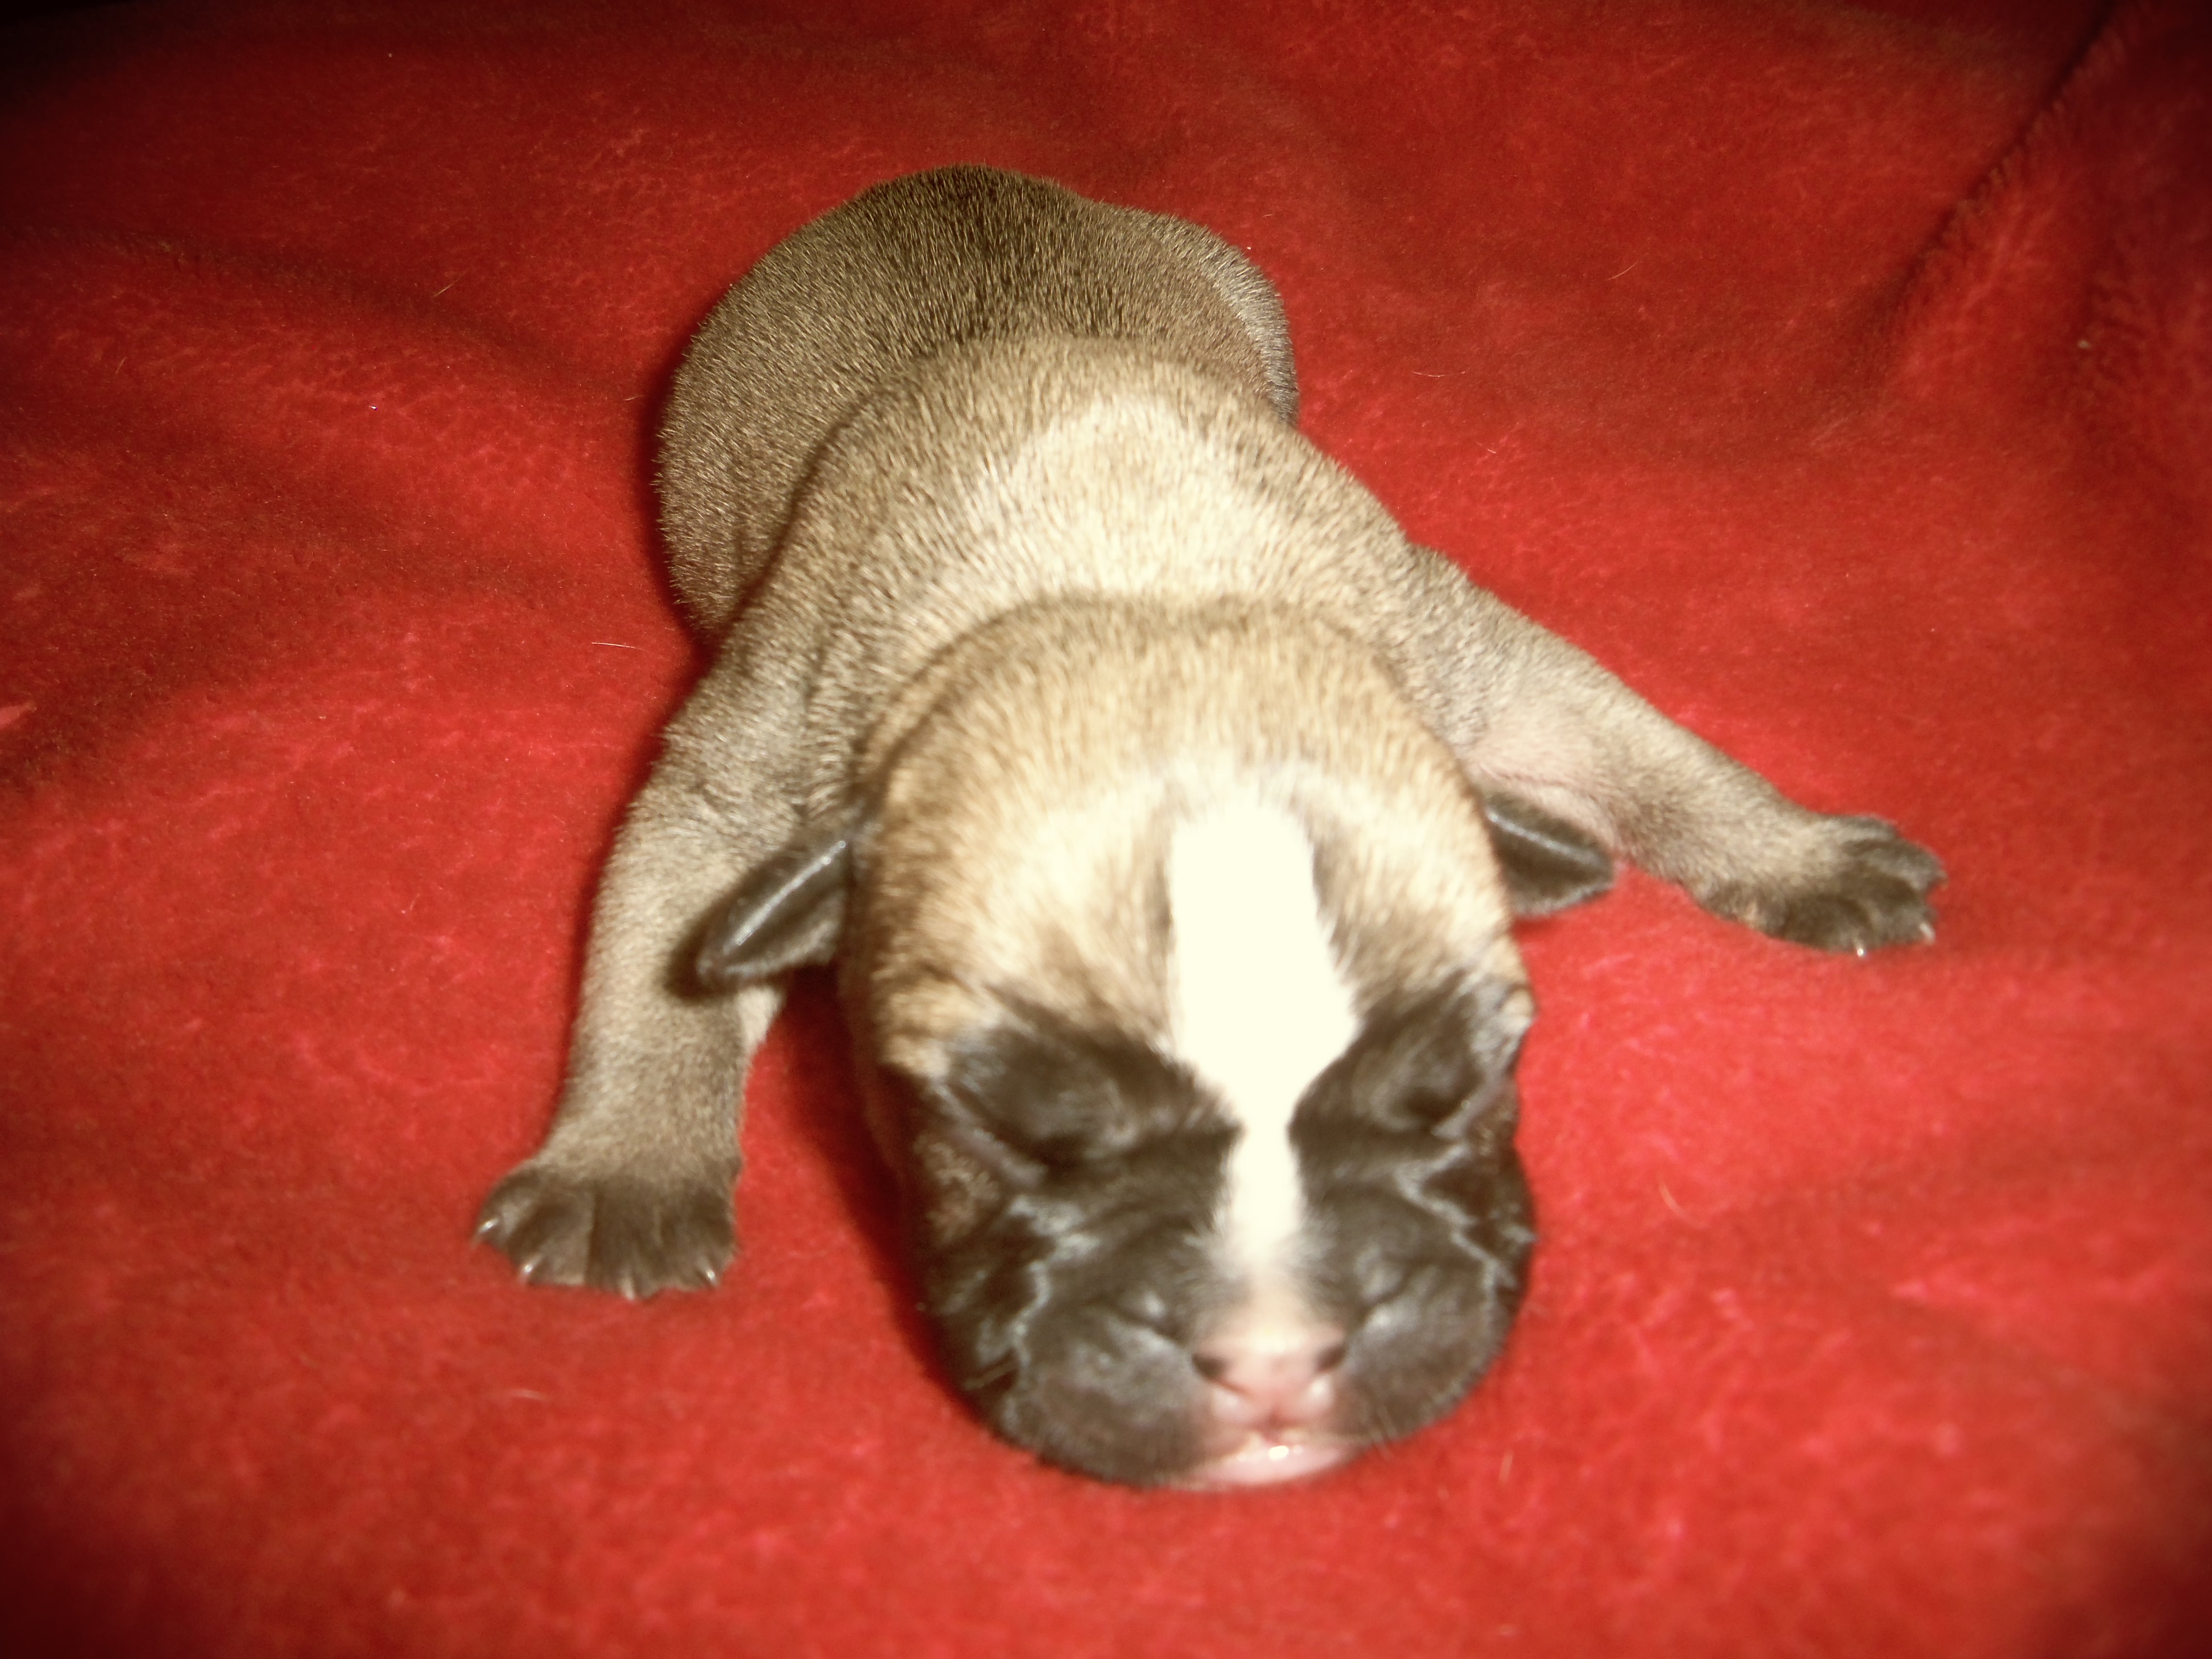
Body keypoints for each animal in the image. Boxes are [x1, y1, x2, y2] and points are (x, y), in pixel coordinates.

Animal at [477, 166, 1942, 1488]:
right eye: (1002, 1132)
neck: (1138, 598)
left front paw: (1795, 847)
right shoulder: (734, 788)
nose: (1275, 1355)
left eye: (1466, 1082)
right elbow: (655, 973)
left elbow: (1644, 745)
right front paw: (626, 1162)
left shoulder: (1477, 660)